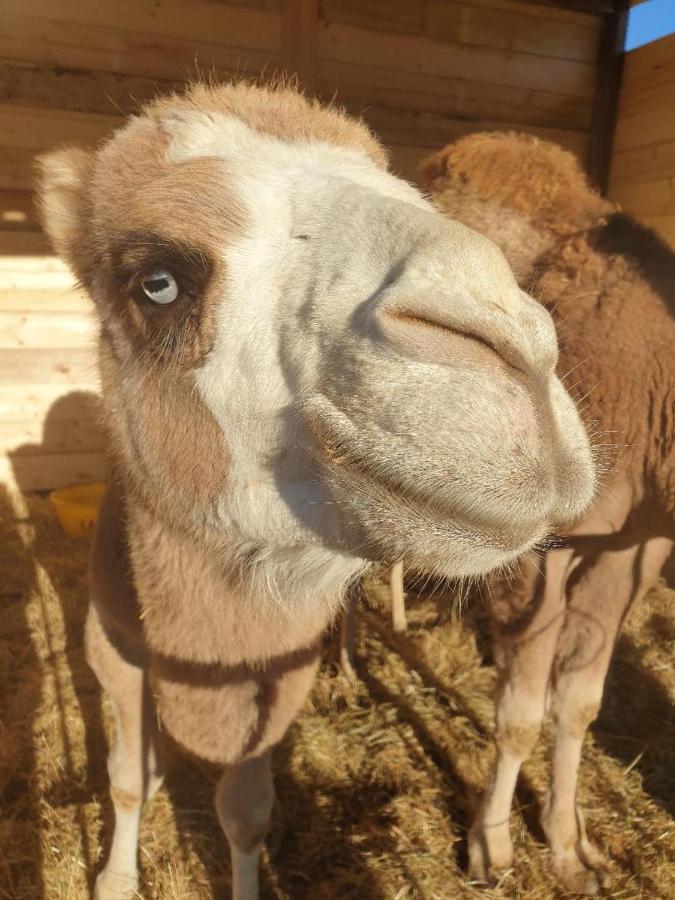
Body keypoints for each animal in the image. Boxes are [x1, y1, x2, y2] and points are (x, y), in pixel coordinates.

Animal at [37, 81, 596, 896]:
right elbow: (129, 780)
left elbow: (244, 812)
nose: (515, 350)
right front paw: (112, 880)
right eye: (156, 283)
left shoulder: (277, 672)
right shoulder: (110, 644)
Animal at [422, 132, 675, 892]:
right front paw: (491, 849)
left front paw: (569, 847)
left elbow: (580, 704)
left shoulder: (636, 544)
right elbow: (519, 716)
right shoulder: (539, 549)